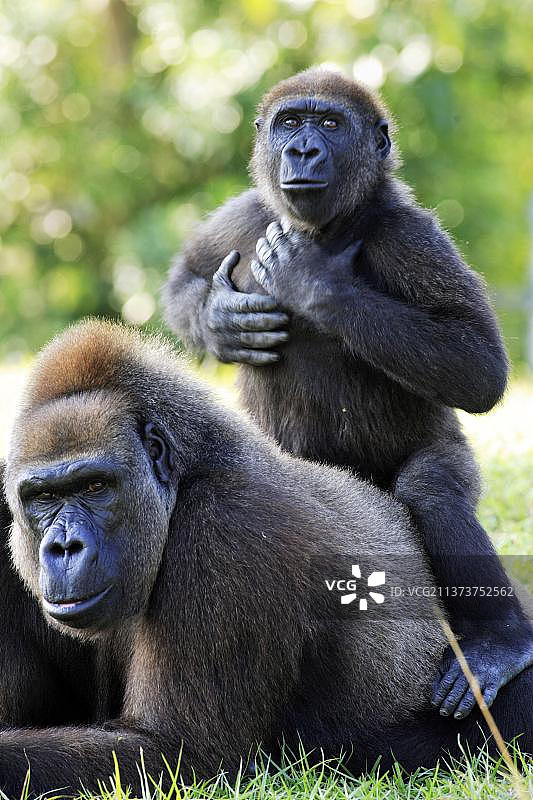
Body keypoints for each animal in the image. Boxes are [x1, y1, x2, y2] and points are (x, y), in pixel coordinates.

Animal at [1, 319, 530, 796]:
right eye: (42, 497)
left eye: (96, 486)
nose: (64, 546)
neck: (188, 471)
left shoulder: (222, 531)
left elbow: (177, 752)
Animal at [163, 67, 533, 721]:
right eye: (290, 122)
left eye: (330, 124)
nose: (302, 151)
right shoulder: (246, 211)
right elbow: (186, 273)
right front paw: (221, 321)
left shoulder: (411, 235)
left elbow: (479, 367)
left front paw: (314, 283)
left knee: (433, 491)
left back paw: (498, 643)